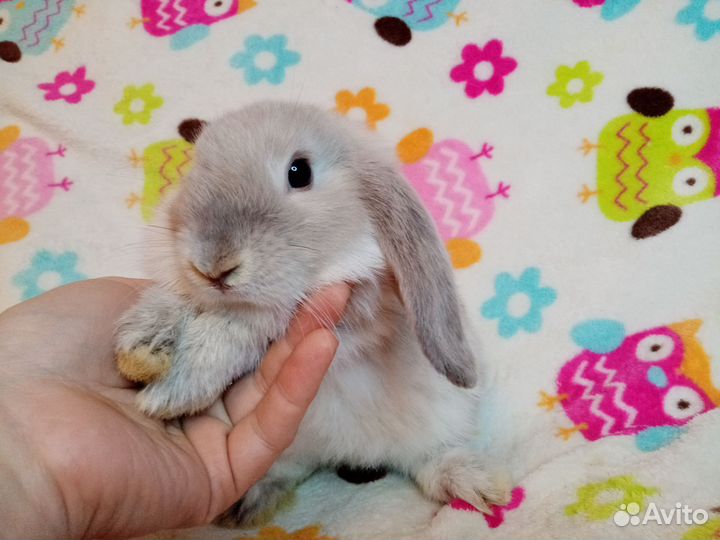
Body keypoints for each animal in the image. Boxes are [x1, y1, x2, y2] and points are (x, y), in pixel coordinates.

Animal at [114, 101, 511, 526]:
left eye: (299, 172)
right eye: (195, 169)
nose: (213, 266)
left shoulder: (351, 310)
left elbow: (243, 326)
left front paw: (174, 390)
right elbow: (180, 300)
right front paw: (141, 346)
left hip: (441, 419)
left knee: (430, 460)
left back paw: (479, 483)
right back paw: (244, 503)